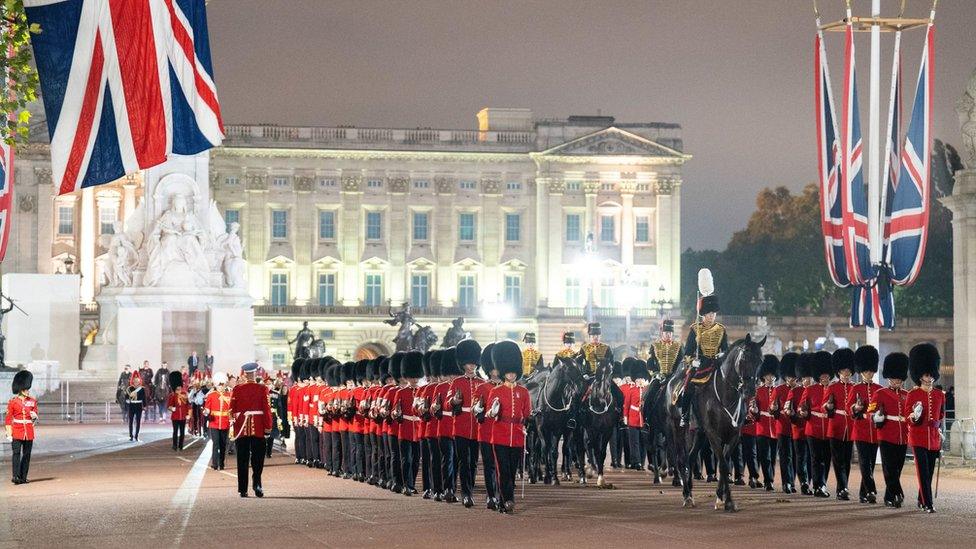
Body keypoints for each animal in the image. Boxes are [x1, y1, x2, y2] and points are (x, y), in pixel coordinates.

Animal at [528, 356, 584, 484]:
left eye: (580, 368)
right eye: (569, 369)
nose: (580, 388)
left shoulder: (558, 429)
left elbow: (554, 452)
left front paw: (554, 477)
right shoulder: (541, 429)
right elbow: (544, 449)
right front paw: (548, 476)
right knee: (533, 450)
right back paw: (532, 475)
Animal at [580, 360, 624, 488]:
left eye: (611, 372)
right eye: (599, 372)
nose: (604, 394)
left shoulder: (607, 430)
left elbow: (602, 452)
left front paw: (601, 477)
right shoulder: (592, 429)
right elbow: (595, 450)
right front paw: (595, 473)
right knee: (586, 445)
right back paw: (587, 471)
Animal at [668, 332, 768, 512]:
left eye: (761, 360)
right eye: (744, 358)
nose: (750, 391)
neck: (726, 393)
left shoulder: (734, 434)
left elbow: (726, 463)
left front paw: (721, 498)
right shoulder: (713, 434)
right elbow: (722, 464)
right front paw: (728, 501)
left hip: (699, 432)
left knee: (691, 458)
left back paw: (690, 492)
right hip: (677, 428)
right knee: (681, 459)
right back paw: (686, 495)